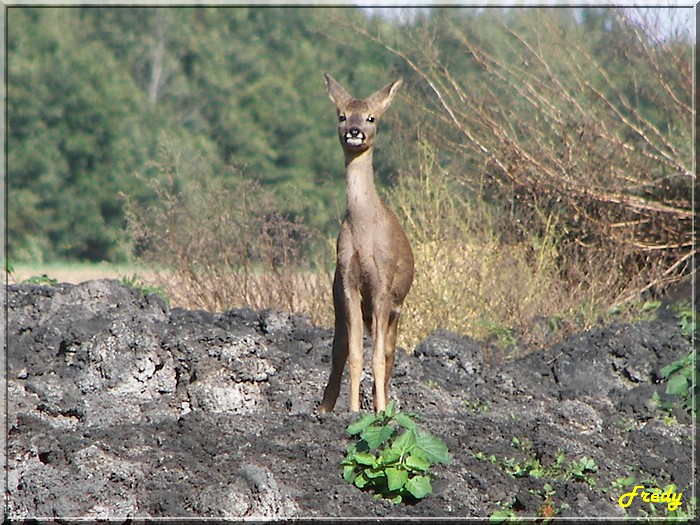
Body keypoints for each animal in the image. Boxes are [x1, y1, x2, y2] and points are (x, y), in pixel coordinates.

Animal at [318, 73, 412, 412]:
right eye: (342, 115)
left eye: (371, 117)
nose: (354, 132)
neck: (363, 230)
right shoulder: (348, 283)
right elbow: (356, 354)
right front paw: (353, 411)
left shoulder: (383, 285)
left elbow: (378, 358)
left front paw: (381, 412)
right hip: (338, 303)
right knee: (339, 351)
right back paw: (324, 409)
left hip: (396, 309)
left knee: (389, 354)